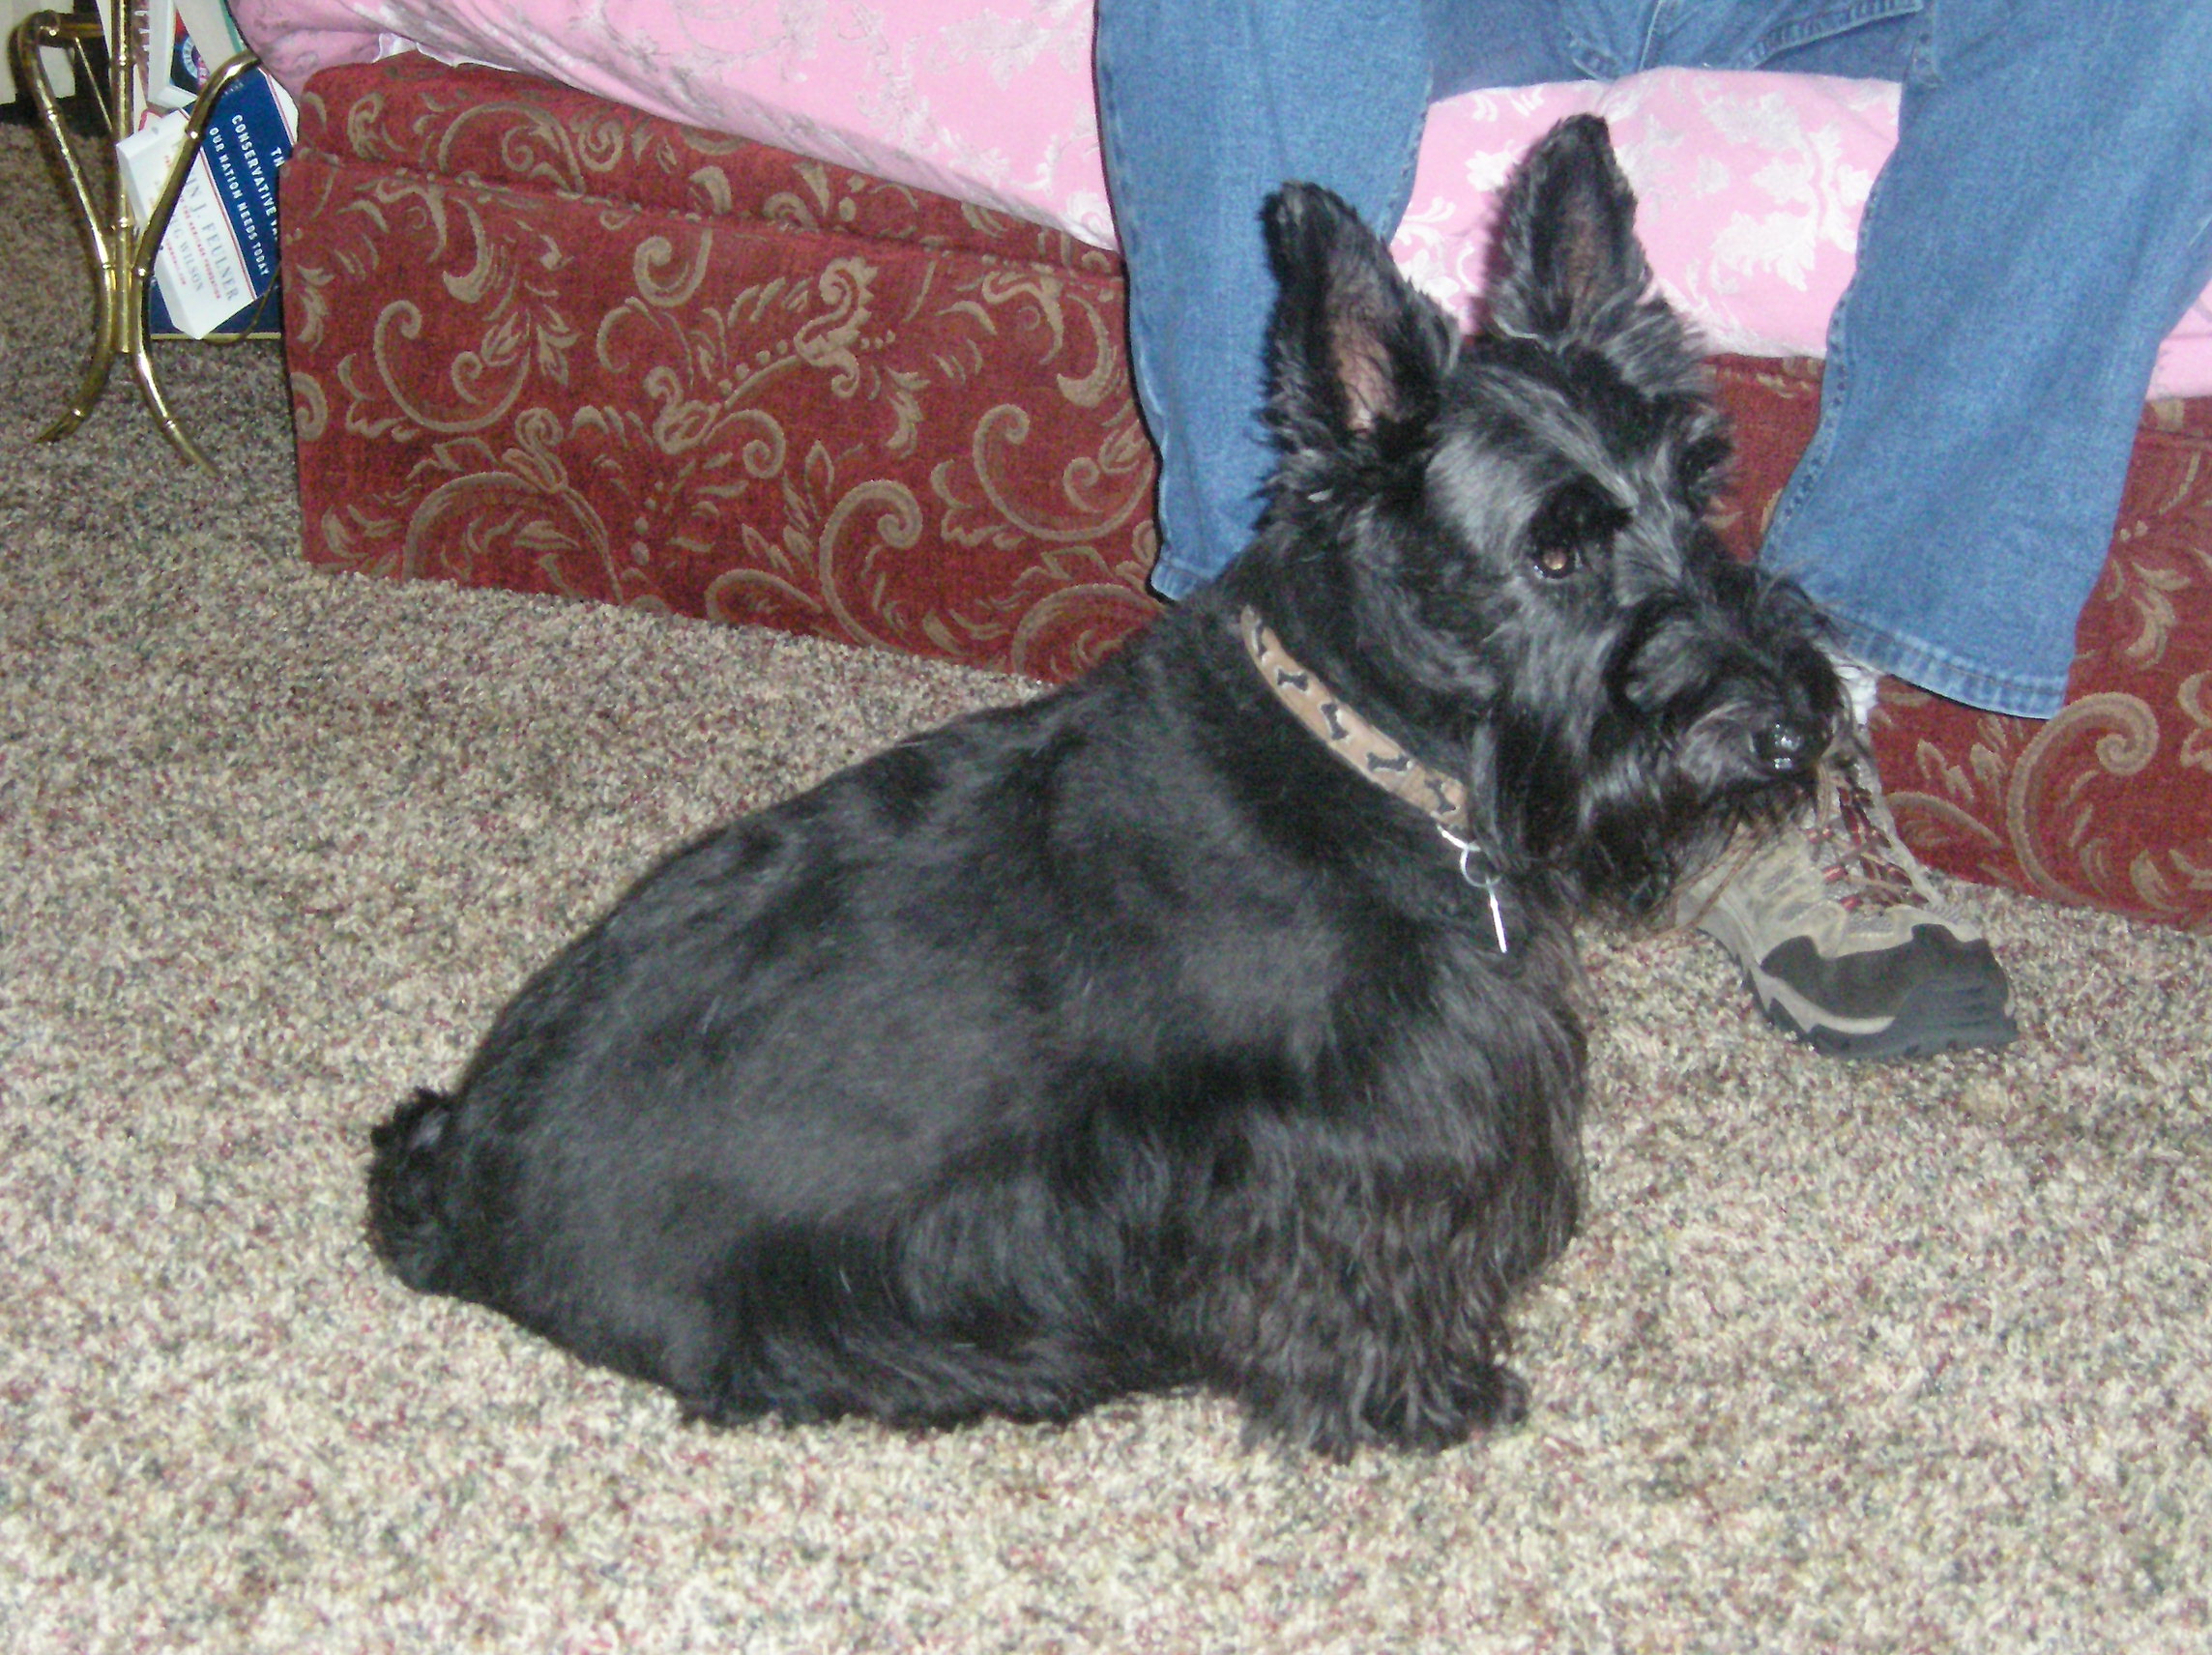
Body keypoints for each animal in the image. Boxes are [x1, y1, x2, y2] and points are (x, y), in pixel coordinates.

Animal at [367, 116, 1842, 1457]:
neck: (1357, 740)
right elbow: (1366, 1272)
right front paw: (1419, 1399)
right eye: (1553, 552)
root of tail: (459, 1179)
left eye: (1696, 483)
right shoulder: (1352, 1134)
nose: (1789, 726)